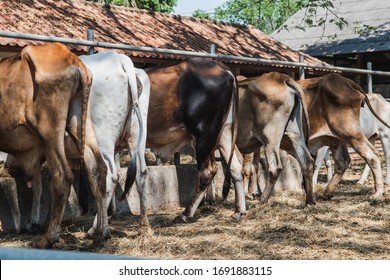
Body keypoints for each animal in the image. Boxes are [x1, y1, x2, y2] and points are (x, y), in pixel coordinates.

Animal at [0, 42, 106, 248]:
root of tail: (73, 60)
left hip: (50, 131)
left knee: (62, 176)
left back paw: (48, 238)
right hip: (81, 122)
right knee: (98, 169)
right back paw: (100, 233)